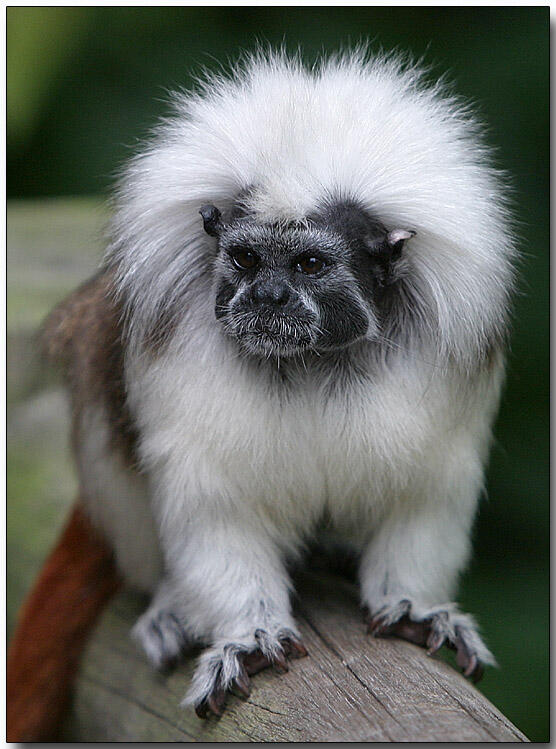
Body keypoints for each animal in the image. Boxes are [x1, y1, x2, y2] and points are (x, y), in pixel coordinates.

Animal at [7, 45, 516, 732]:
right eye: (246, 259)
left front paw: (412, 607)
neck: (311, 363)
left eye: (308, 265)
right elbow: (215, 512)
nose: (269, 296)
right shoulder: (178, 365)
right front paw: (244, 636)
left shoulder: (443, 378)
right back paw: (168, 602)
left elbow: (424, 498)